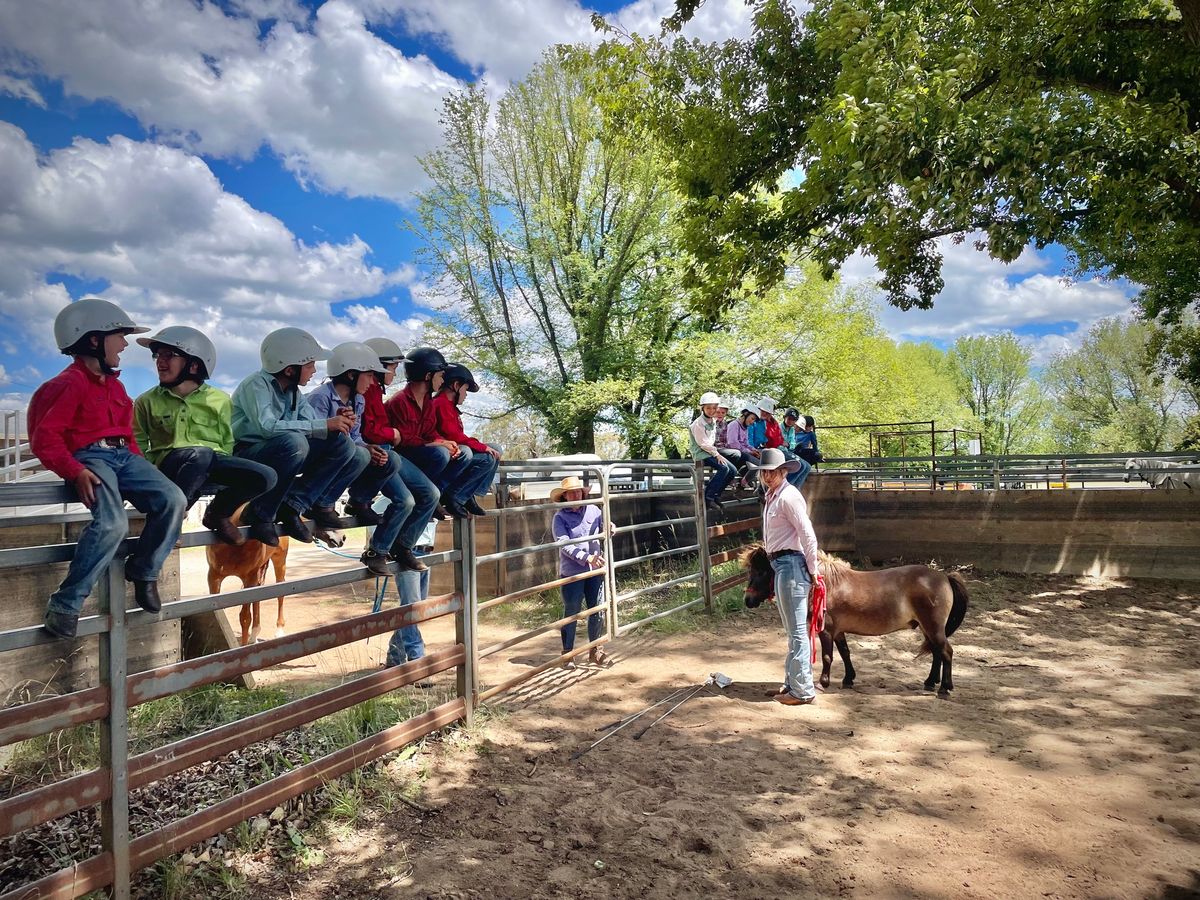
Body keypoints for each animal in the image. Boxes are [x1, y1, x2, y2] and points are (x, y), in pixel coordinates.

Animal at [734, 547, 969, 696]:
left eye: (762, 571)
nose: (748, 600)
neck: (827, 585)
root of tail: (944, 577)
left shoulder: (826, 631)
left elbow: (828, 657)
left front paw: (823, 682)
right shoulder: (839, 631)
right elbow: (846, 653)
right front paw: (849, 679)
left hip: (933, 627)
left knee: (946, 652)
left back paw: (945, 688)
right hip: (928, 628)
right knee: (937, 653)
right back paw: (930, 682)